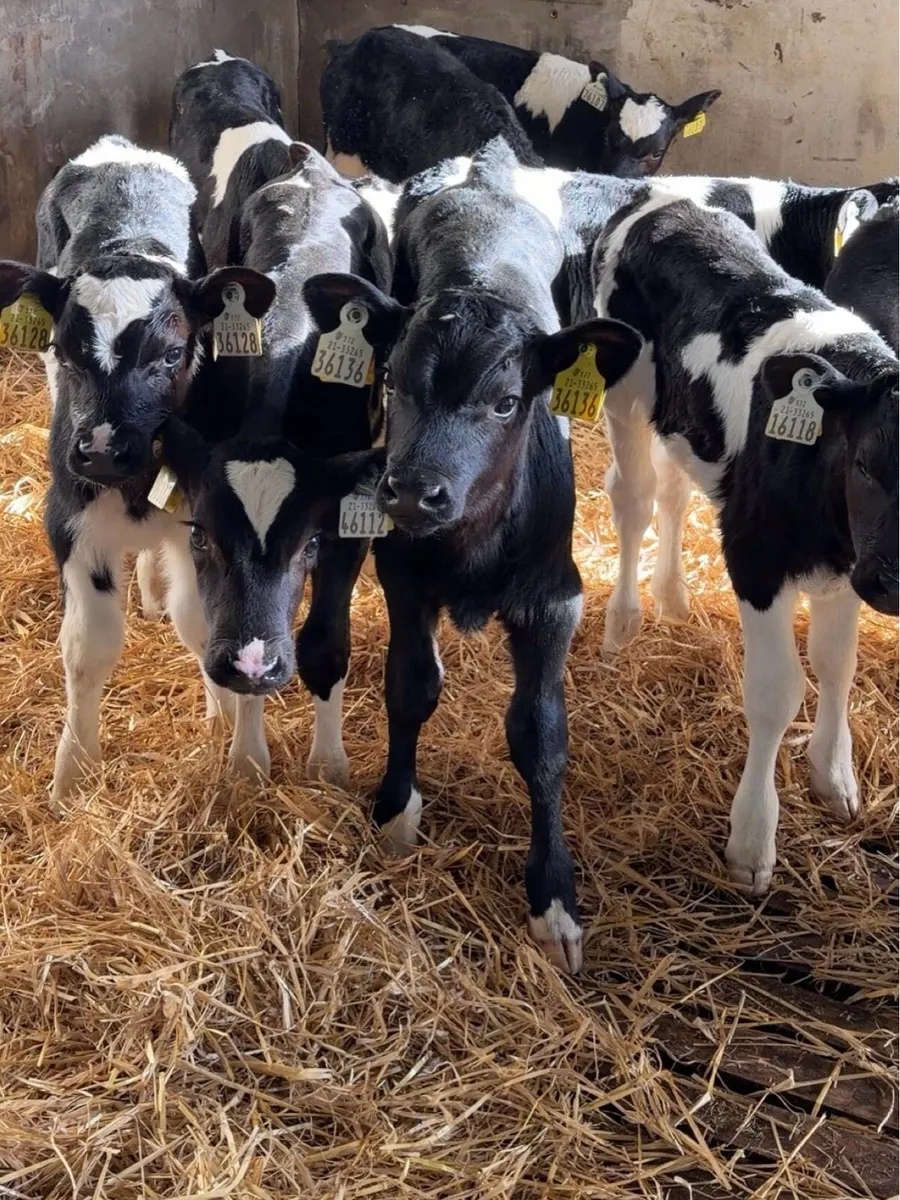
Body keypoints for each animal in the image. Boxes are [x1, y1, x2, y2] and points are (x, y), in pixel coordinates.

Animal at [304, 139, 643, 972]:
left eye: (506, 402)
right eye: (394, 381)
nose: (412, 492)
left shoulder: (555, 599)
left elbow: (540, 735)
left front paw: (553, 896)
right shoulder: (402, 573)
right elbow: (410, 686)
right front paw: (397, 809)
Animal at [591, 190, 898, 893]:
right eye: (866, 465)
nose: (893, 583)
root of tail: (662, 200)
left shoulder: (850, 568)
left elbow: (837, 664)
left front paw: (833, 776)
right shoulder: (756, 558)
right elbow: (776, 693)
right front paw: (753, 840)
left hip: (687, 422)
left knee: (674, 491)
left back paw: (674, 598)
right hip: (622, 386)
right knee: (634, 497)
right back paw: (625, 619)